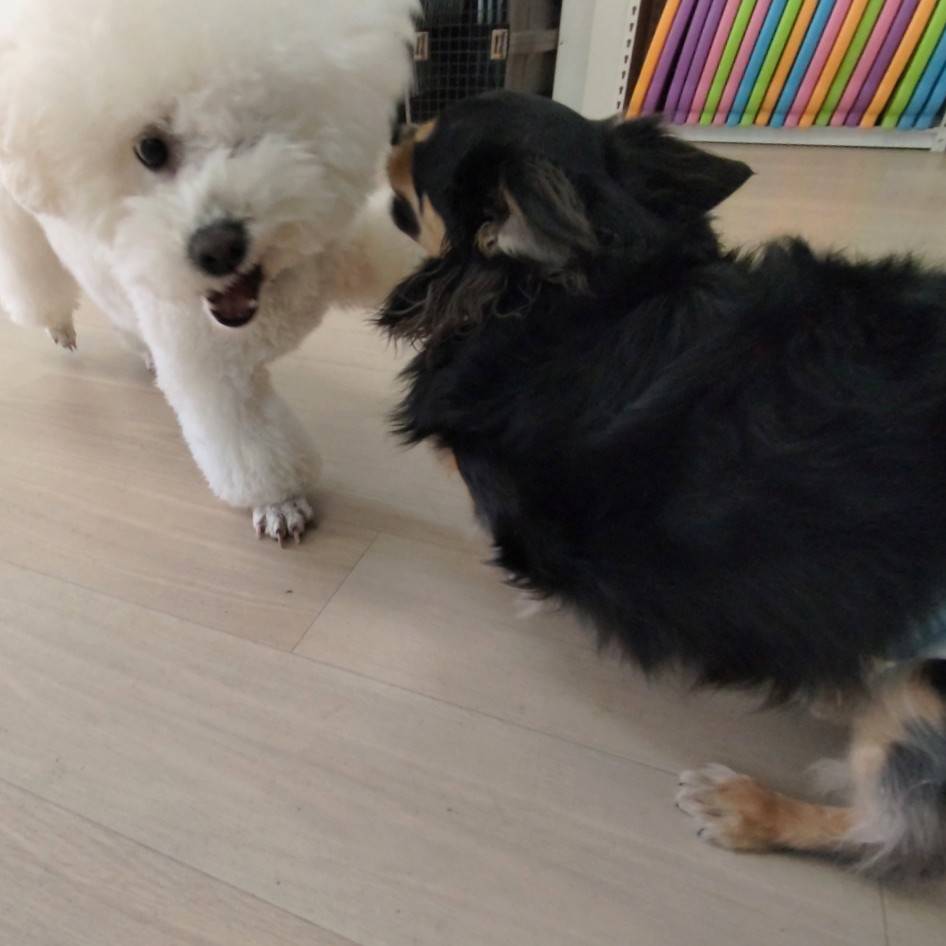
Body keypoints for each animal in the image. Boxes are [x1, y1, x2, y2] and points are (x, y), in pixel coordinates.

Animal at [0, 0, 420, 542]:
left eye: (260, 129)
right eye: (149, 148)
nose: (217, 249)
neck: (269, 291)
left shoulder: (340, 251)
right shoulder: (215, 376)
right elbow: (252, 450)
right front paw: (279, 502)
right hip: (19, 230)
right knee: (35, 285)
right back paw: (59, 324)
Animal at [381, 90, 946, 880]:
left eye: (419, 154)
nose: (393, 128)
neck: (582, 294)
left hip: (924, 696)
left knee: (894, 830)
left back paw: (748, 808)